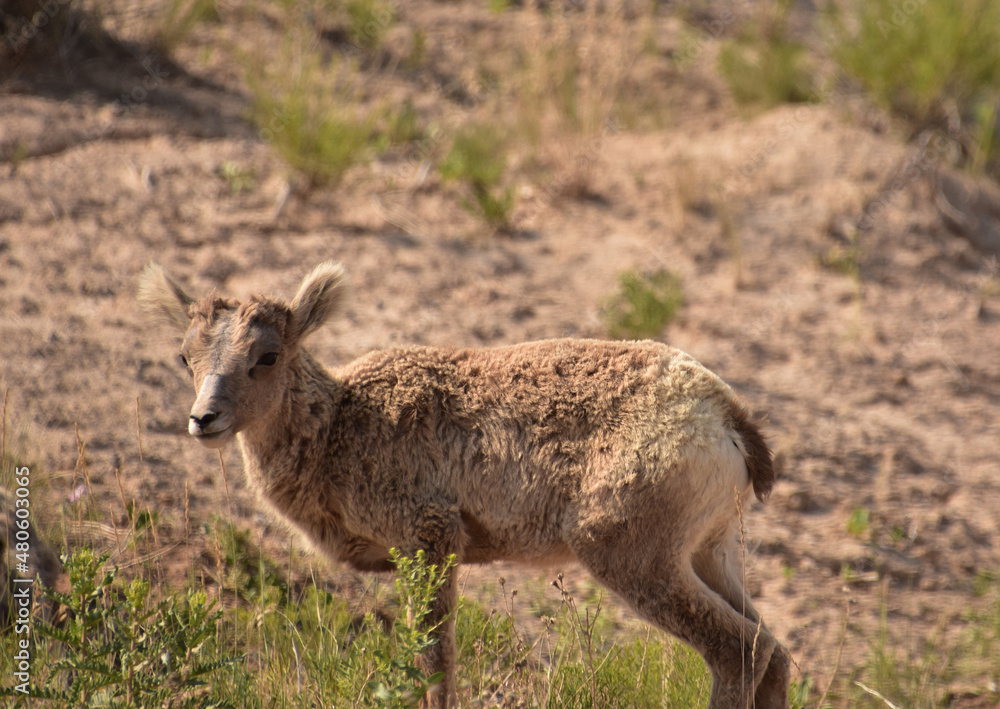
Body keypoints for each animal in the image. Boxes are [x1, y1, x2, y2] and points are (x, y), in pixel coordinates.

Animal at [138, 260, 791, 709]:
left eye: (267, 356)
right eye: (184, 357)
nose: (204, 419)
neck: (339, 429)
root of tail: (722, 414)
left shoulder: (429, 538)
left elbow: (435, 662)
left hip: (632, 553)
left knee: (739, 649)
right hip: (709, 551)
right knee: (774, 651)